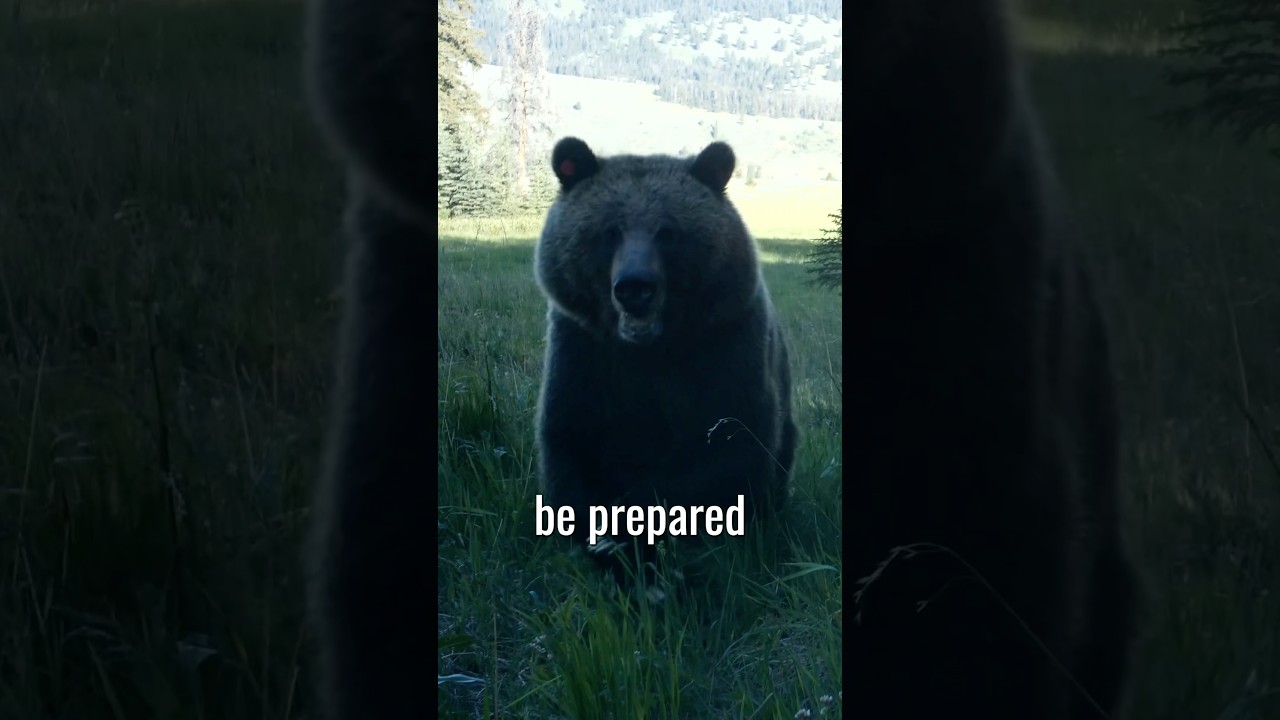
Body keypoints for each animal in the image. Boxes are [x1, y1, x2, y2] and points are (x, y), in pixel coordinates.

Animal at [534, 137, 798, 587]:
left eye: (668, 231)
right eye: (609, 231)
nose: (635, 287)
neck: (650, 349)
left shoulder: (724, 347)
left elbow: (725, 448)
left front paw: (631, 539)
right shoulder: (584, 353)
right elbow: (571, 444)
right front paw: (605, 547)